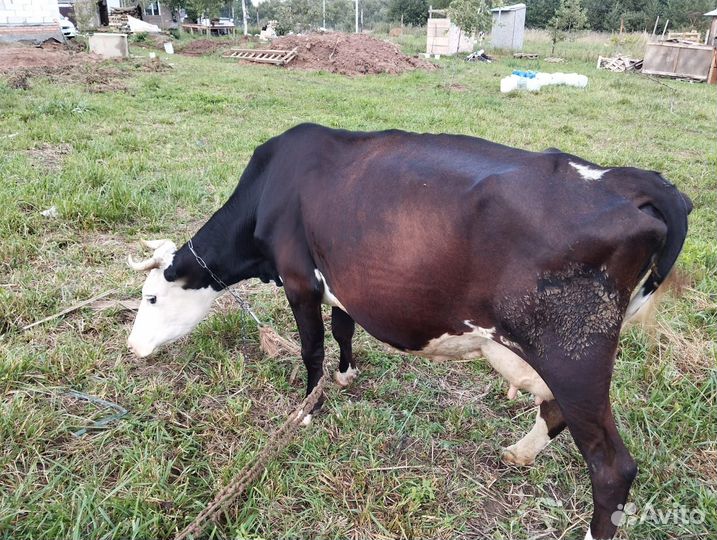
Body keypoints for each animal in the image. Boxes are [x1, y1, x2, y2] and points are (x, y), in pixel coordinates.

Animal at [126, 123, 691, 540]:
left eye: (151, 297)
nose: (132, 346)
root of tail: (634, 181)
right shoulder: (341, 283)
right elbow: (343, 329)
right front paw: (347, 375)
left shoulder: (298, 280)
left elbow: (311, 348)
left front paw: (307, 408)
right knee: (553, 412)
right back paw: (518, 453)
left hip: (576, 354)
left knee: (612, 467)